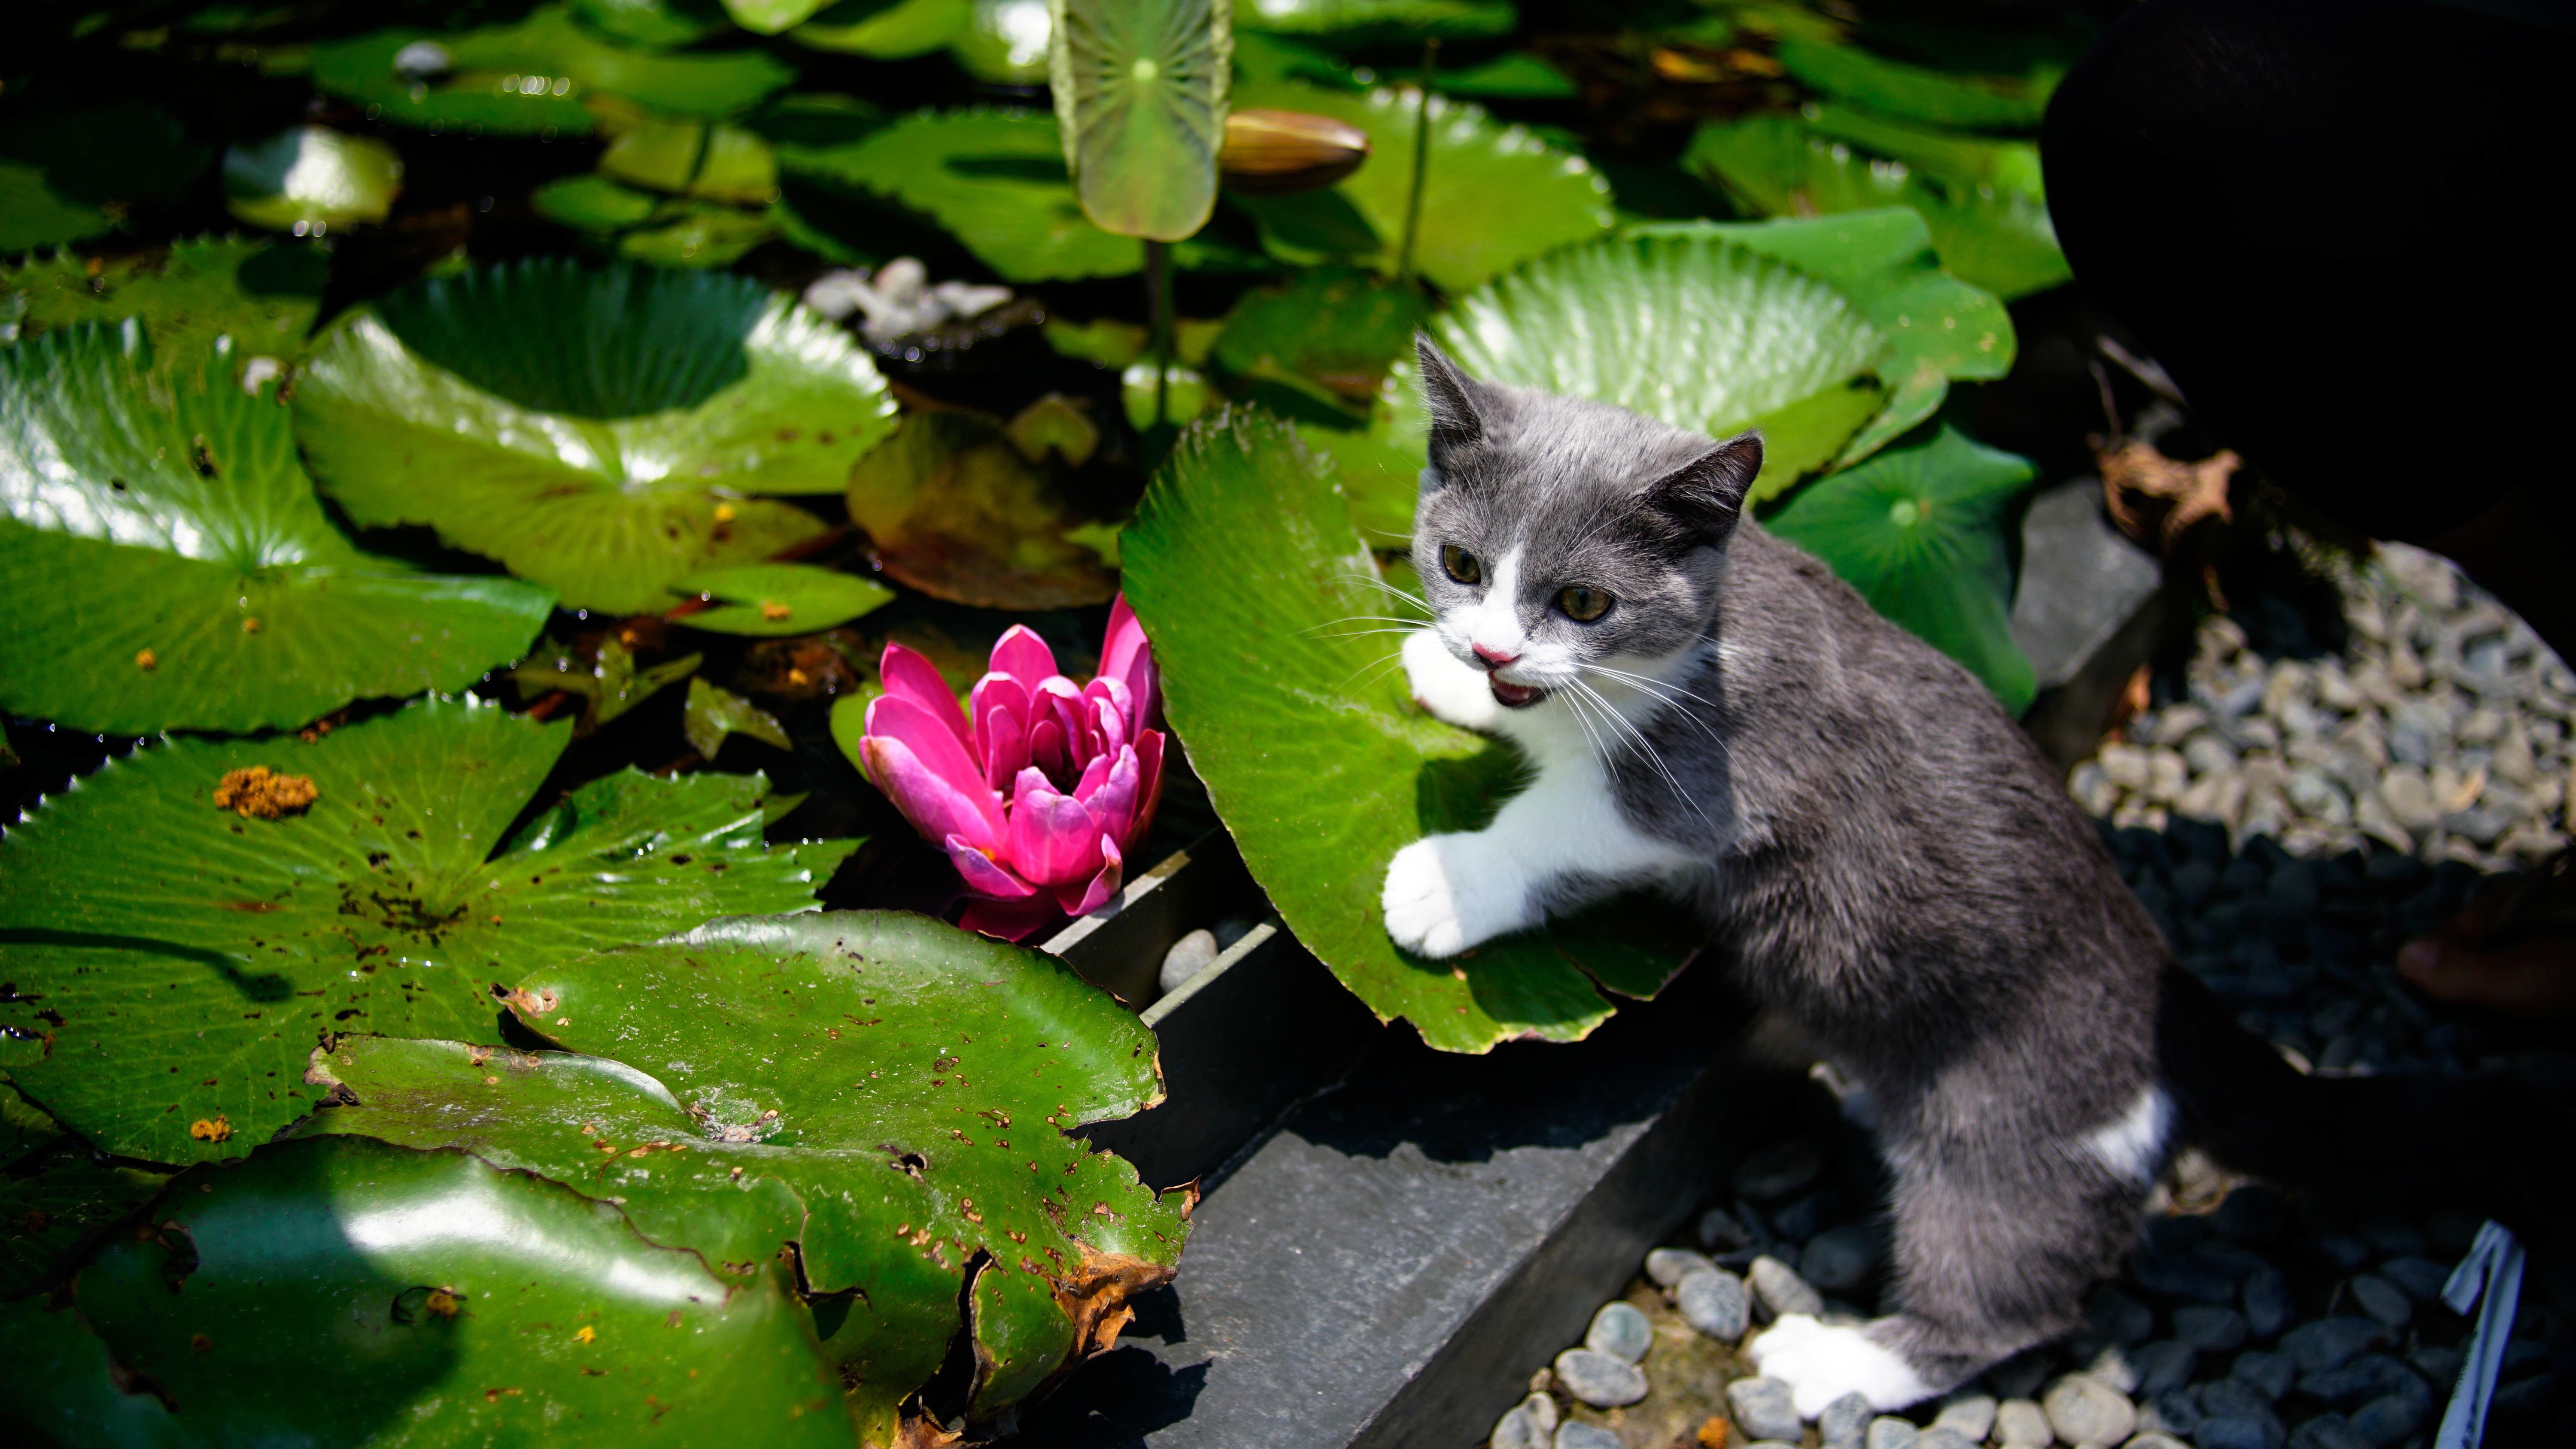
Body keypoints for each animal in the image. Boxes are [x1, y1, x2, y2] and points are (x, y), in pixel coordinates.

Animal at [1381, 340, 2483, 1421]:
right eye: (1460, 563)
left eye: (1584, 602)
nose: (1491, 646)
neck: (1701, 636)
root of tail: (2172, 996)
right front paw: (1445, 674)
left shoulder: (1725, 774)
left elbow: (1569, 823)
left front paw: (1445, 883)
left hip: (2015, 1132)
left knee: (2006, 1290)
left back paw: (1839, 1364)